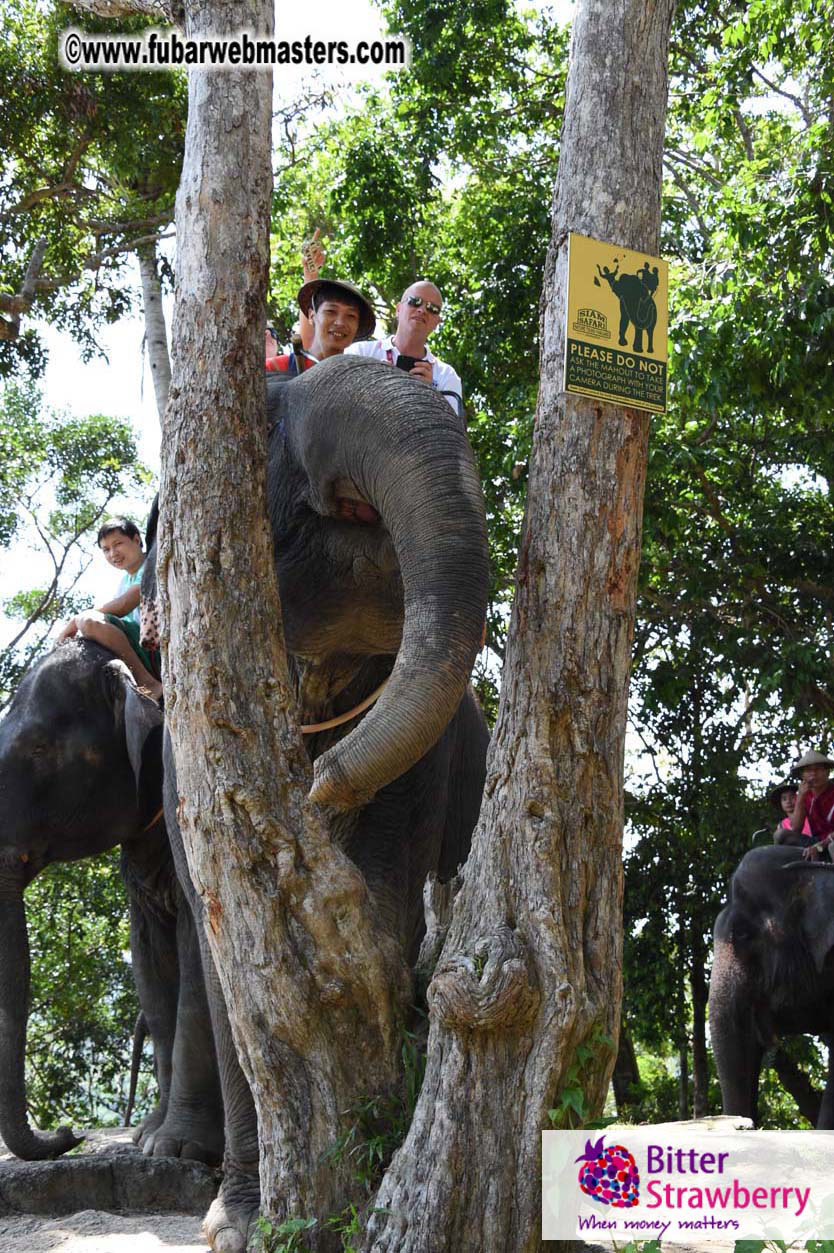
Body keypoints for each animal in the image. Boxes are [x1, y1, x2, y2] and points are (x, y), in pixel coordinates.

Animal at [0, 635, 224, 1163]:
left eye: (39, 749)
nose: (69, 1134)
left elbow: (193, 947)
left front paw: (175, 1148)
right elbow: (150, 963)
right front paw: (147, 1136)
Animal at [135, 355, 491, 1251]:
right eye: (260, 423)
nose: (323, 778)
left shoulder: (428, 765)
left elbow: (384, 908)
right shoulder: (183, 760)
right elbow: (225, 950)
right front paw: (235, 1221)